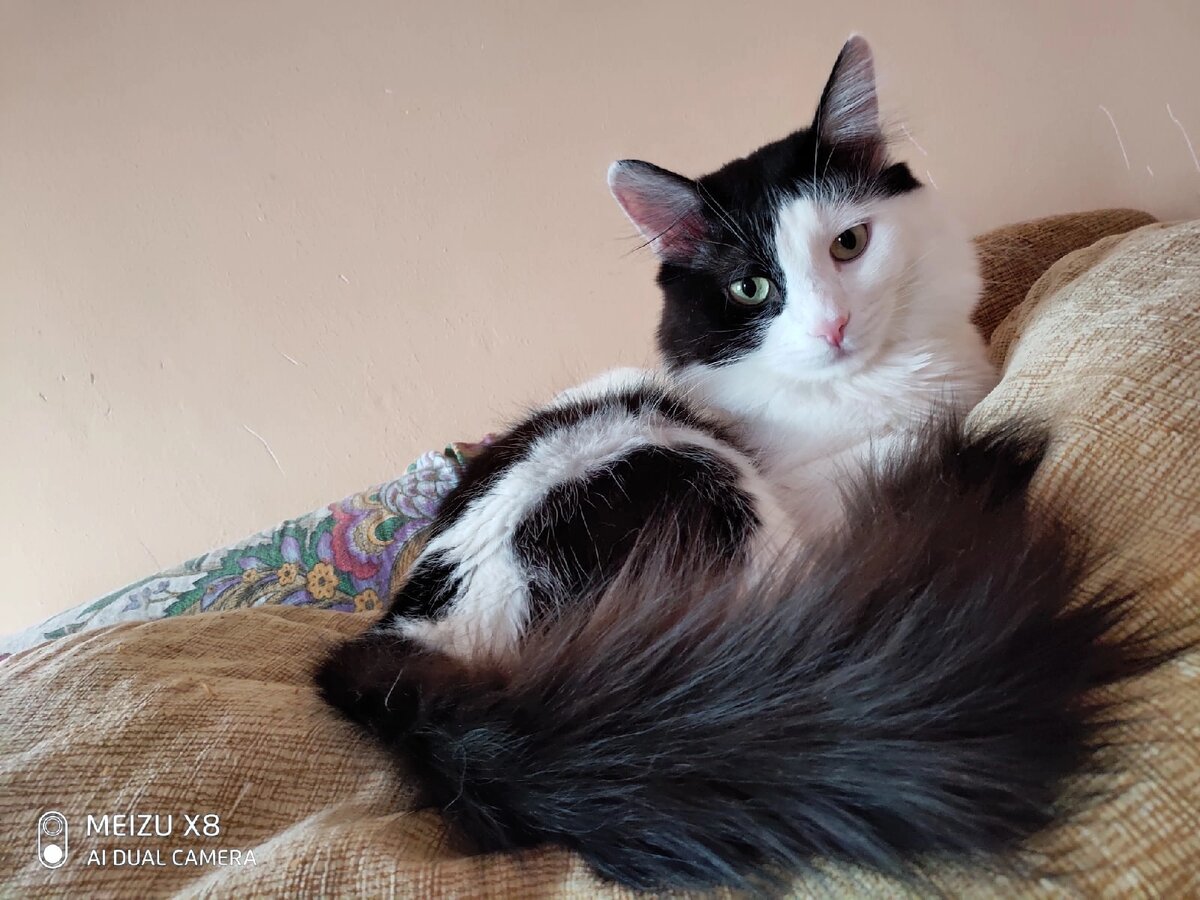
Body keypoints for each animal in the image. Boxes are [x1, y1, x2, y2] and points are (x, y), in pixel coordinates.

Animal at [316, 37, 1161, 892]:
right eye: (751, 288)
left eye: (849, 244)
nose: (832, 325)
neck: (884, 384)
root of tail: (405, 645)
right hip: (687, 476)